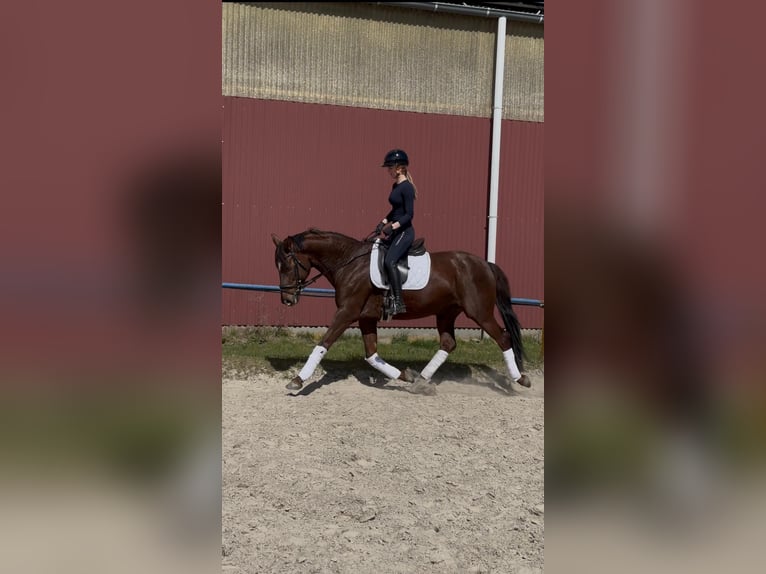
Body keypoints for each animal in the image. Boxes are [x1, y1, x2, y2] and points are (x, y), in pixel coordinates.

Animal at [271, 228, 531, 392]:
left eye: (287, 265)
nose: (286, 299)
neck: (349, 262)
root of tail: (485, 263)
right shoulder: (365, 318)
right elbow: (372, 356)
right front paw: (406, 376)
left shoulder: (347, 313)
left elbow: (322, 344)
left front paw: (297, 380)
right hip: (446, 312)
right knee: (448, 343)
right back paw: (420, 381)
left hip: (479, 313)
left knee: (503, 338)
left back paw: (521, 379)